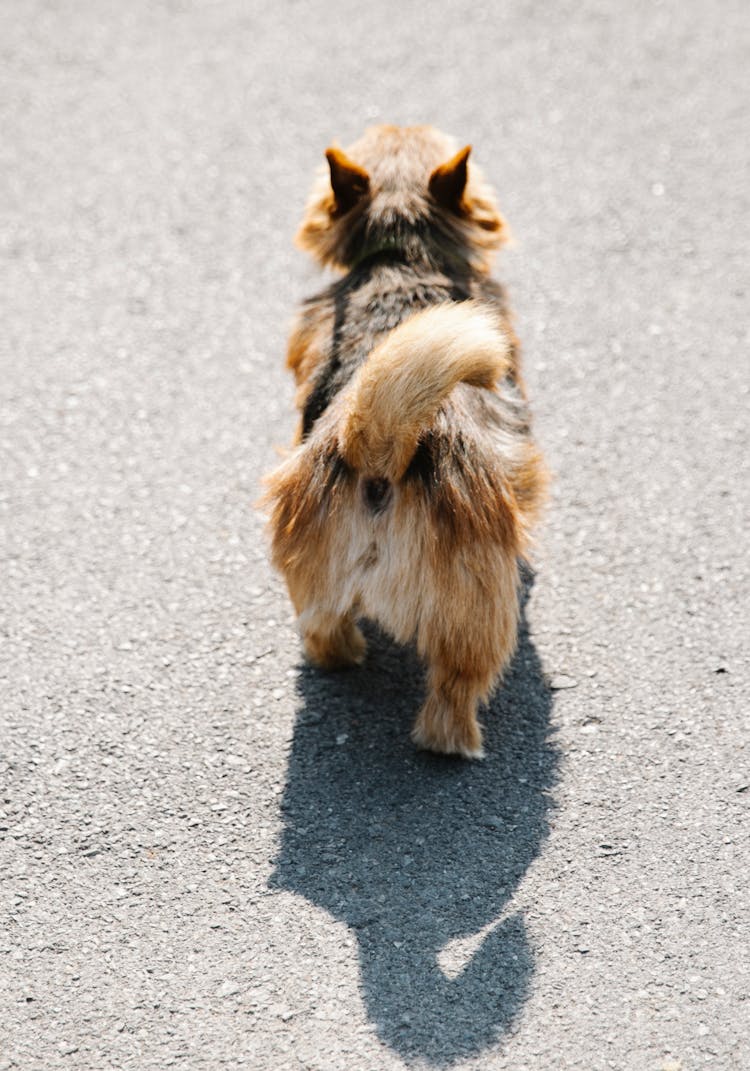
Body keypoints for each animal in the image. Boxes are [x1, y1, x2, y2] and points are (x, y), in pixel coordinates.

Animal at [263, 125, 544, 758]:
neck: (403, 257)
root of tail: (379, 449)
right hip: (475, 613)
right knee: (454, 688)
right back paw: (456, 742)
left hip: (312, 569)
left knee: (324, 630)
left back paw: (343, 657)